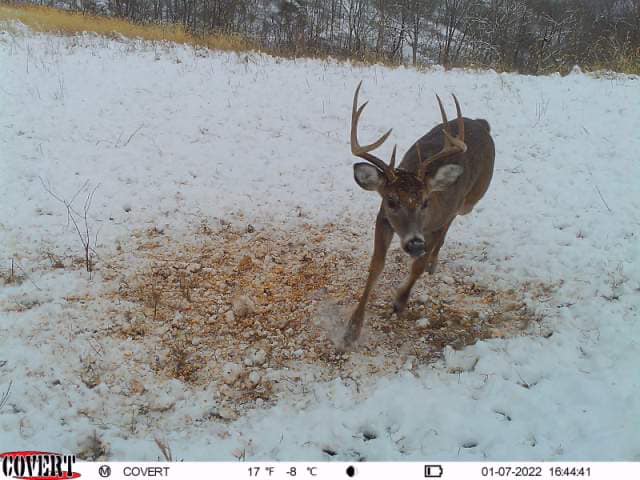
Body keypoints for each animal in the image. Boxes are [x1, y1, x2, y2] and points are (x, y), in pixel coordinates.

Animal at [344, 81, 495, 346]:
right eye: (391, 201)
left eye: (426, 202)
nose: (414, 243)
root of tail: (480, 122)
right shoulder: (383, 220)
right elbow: (376, 266)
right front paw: (352, 329)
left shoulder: (439, 220)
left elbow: (418, 265)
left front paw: (399, 302)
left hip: (468, 201)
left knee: (447, 231)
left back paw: (433, 263)